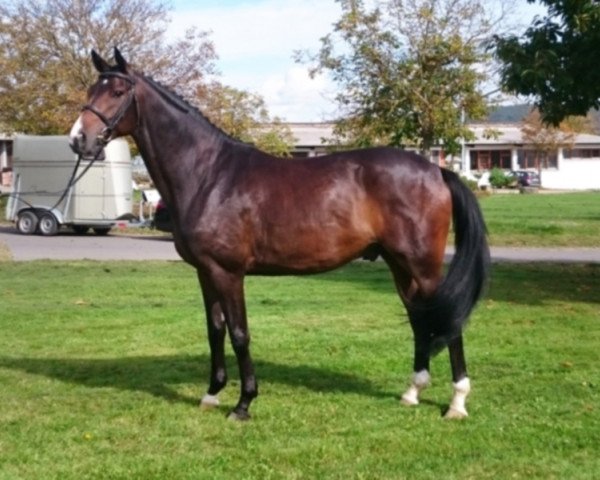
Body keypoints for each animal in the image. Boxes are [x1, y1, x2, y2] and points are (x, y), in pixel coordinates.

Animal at [70, 47, 490, 418]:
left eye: (117, 92)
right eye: (90, 91)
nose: (78, 139)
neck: (209, 174)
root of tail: (437, 171)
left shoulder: (228, 272)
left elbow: (239, 334)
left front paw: (243, 404)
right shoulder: (205, 272)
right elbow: (215, 330)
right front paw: (211, 394)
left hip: (422, 267)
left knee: (448, 322)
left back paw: (457, 403)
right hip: (400, 266)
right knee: (422, 318)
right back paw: (412, 393)